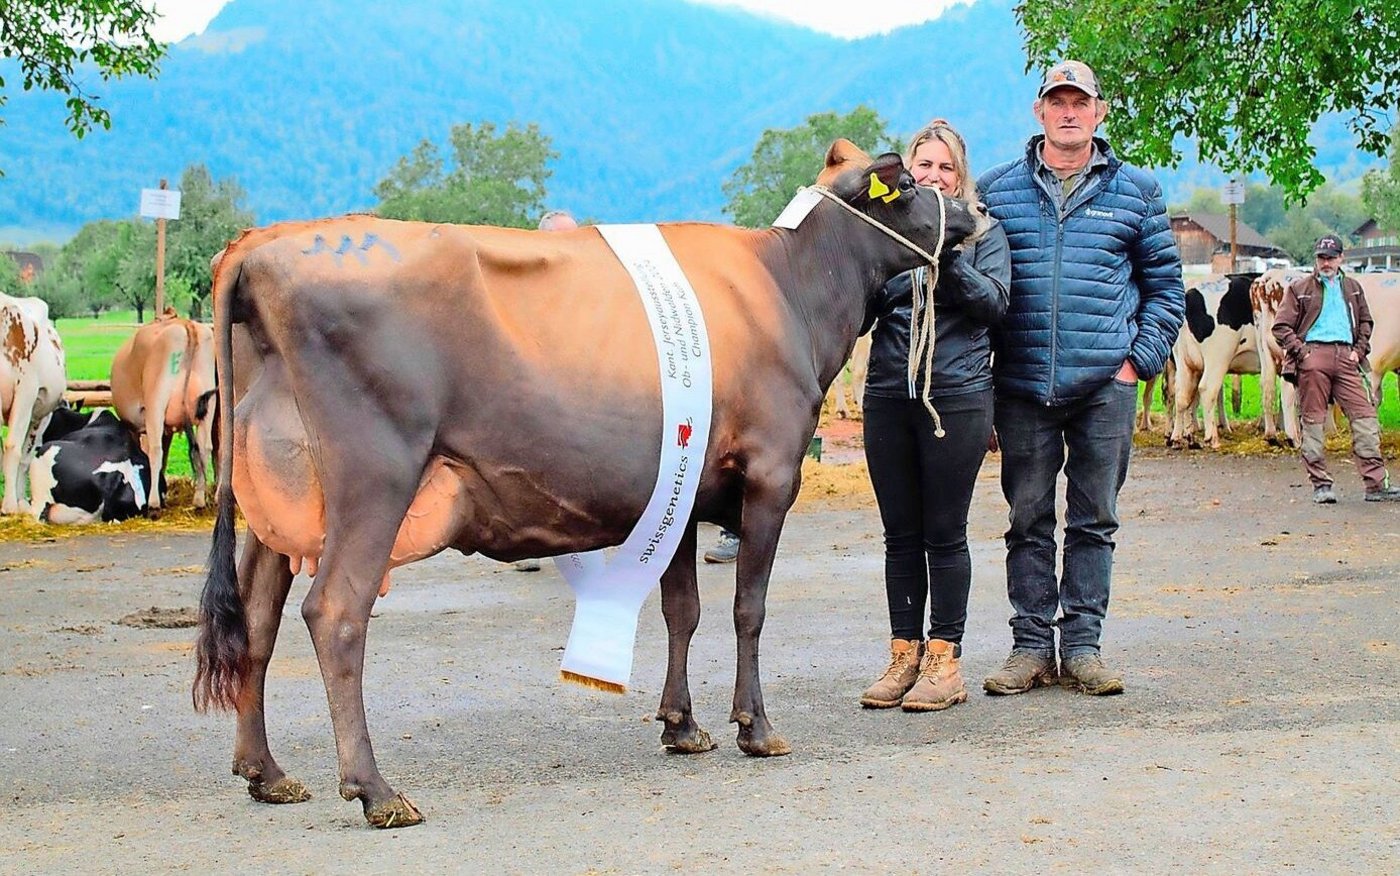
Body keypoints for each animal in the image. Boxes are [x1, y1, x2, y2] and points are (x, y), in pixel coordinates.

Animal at [1, 293, 67, 515]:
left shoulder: (26, 393)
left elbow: (12, 447)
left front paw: (9, 505)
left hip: (41, 415)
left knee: (25, 457)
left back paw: (20, 500)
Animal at [110, 310, 217, 510]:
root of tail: (185, 324)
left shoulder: (135, 426)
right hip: (209, 403)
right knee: (204, 447)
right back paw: (199, 500)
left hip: (156, 402)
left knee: (155, 450)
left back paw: (153, 503)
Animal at [191, 140, 984, 828]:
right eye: (911, 184)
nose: (978, 210)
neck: (789, 288)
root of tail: (261, 244)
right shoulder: (771, 473)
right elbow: (748, 609)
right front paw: (754, 727)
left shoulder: (687, 488)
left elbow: (683, 610)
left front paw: (681, 724)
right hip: (373, 478)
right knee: (335, 613)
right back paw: (376, 791)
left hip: (275, 501)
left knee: (256, 622)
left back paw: (266, 772)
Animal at [1167, 273, 1261, 449]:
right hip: (1218, 355)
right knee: (1207, 389)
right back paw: (1212, 438)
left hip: (1184, 360)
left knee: (1182, 394)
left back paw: (1179, 438)